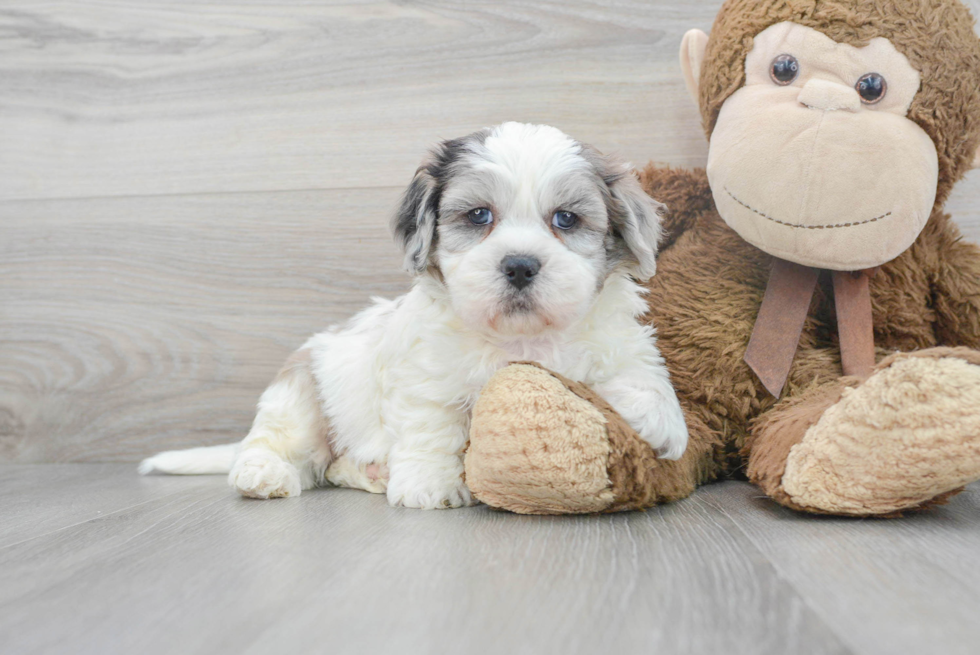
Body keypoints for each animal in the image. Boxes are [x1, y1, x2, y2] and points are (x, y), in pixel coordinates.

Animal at [140, 124, 688, 512]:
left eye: (566, 219)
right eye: (479, 216)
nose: (519, 265)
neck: (521, 340)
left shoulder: (617, 338)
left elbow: (640, 367)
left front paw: (659, 420)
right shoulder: (427, 380)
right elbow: (433, 428)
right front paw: (430, 485)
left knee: (333, 467)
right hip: (300, 395)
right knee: (276, 445)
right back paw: (264, 475)